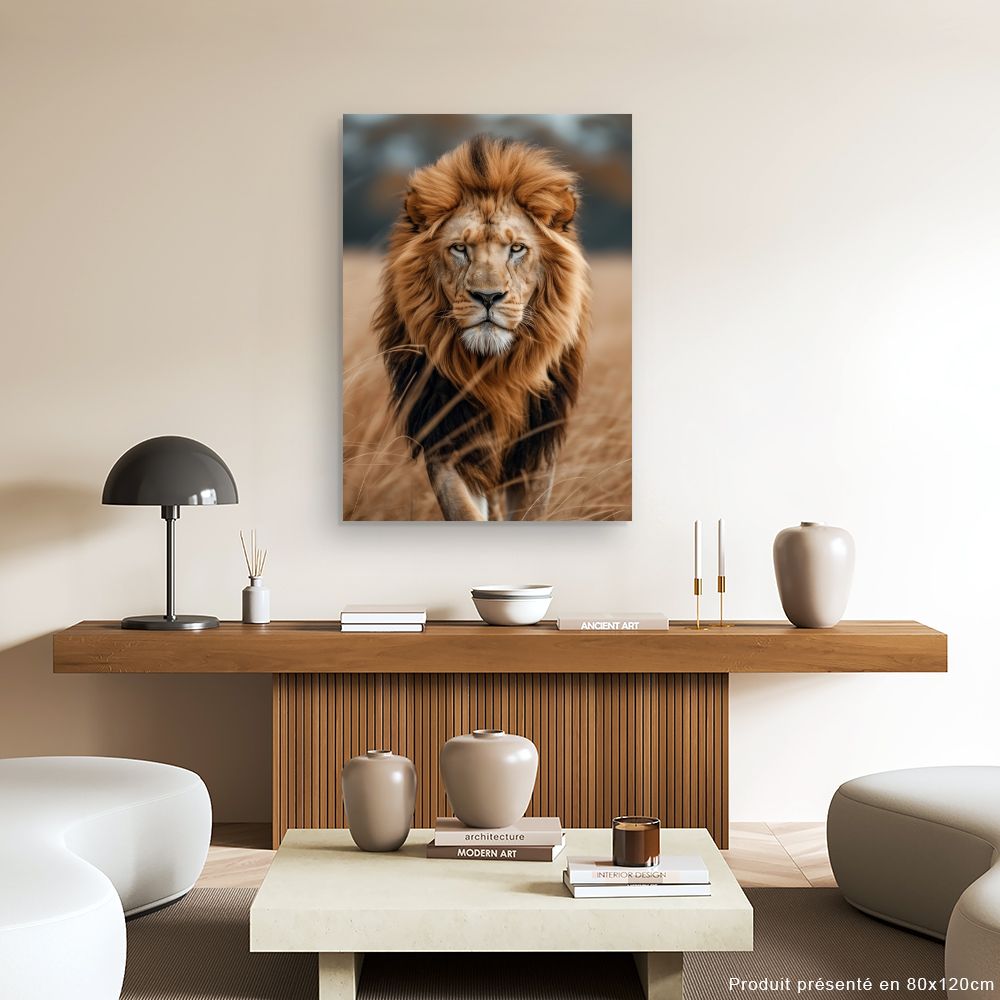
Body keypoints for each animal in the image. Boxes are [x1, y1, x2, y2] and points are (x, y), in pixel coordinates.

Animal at [372, 134, 591, 521]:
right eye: (460, 248)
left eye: (517, 248)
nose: (488, 297)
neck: (494, 373)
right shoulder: (448, 438)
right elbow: (465, 512)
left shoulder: (536, 450)